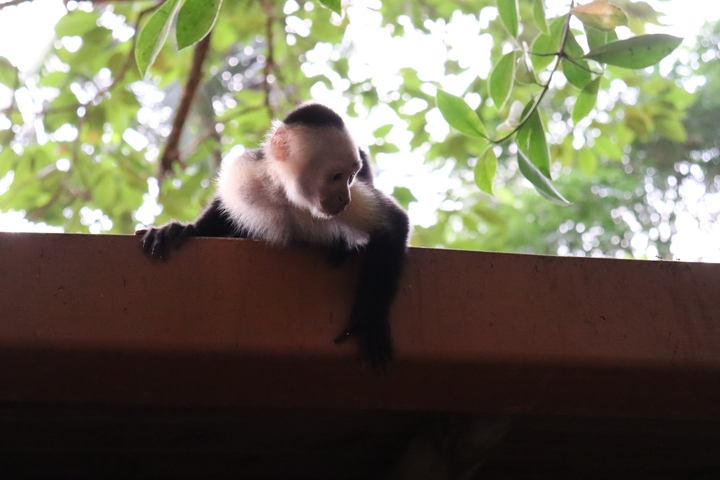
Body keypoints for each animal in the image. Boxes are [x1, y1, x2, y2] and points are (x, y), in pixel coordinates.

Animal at [137, 102, 410, 370]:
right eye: (336, 176)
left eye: (351, 177)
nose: (345, 197)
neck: (288, 197)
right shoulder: (248, 176)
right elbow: (224, 209)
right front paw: (184, 230)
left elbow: (394, 225)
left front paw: (371, 319)